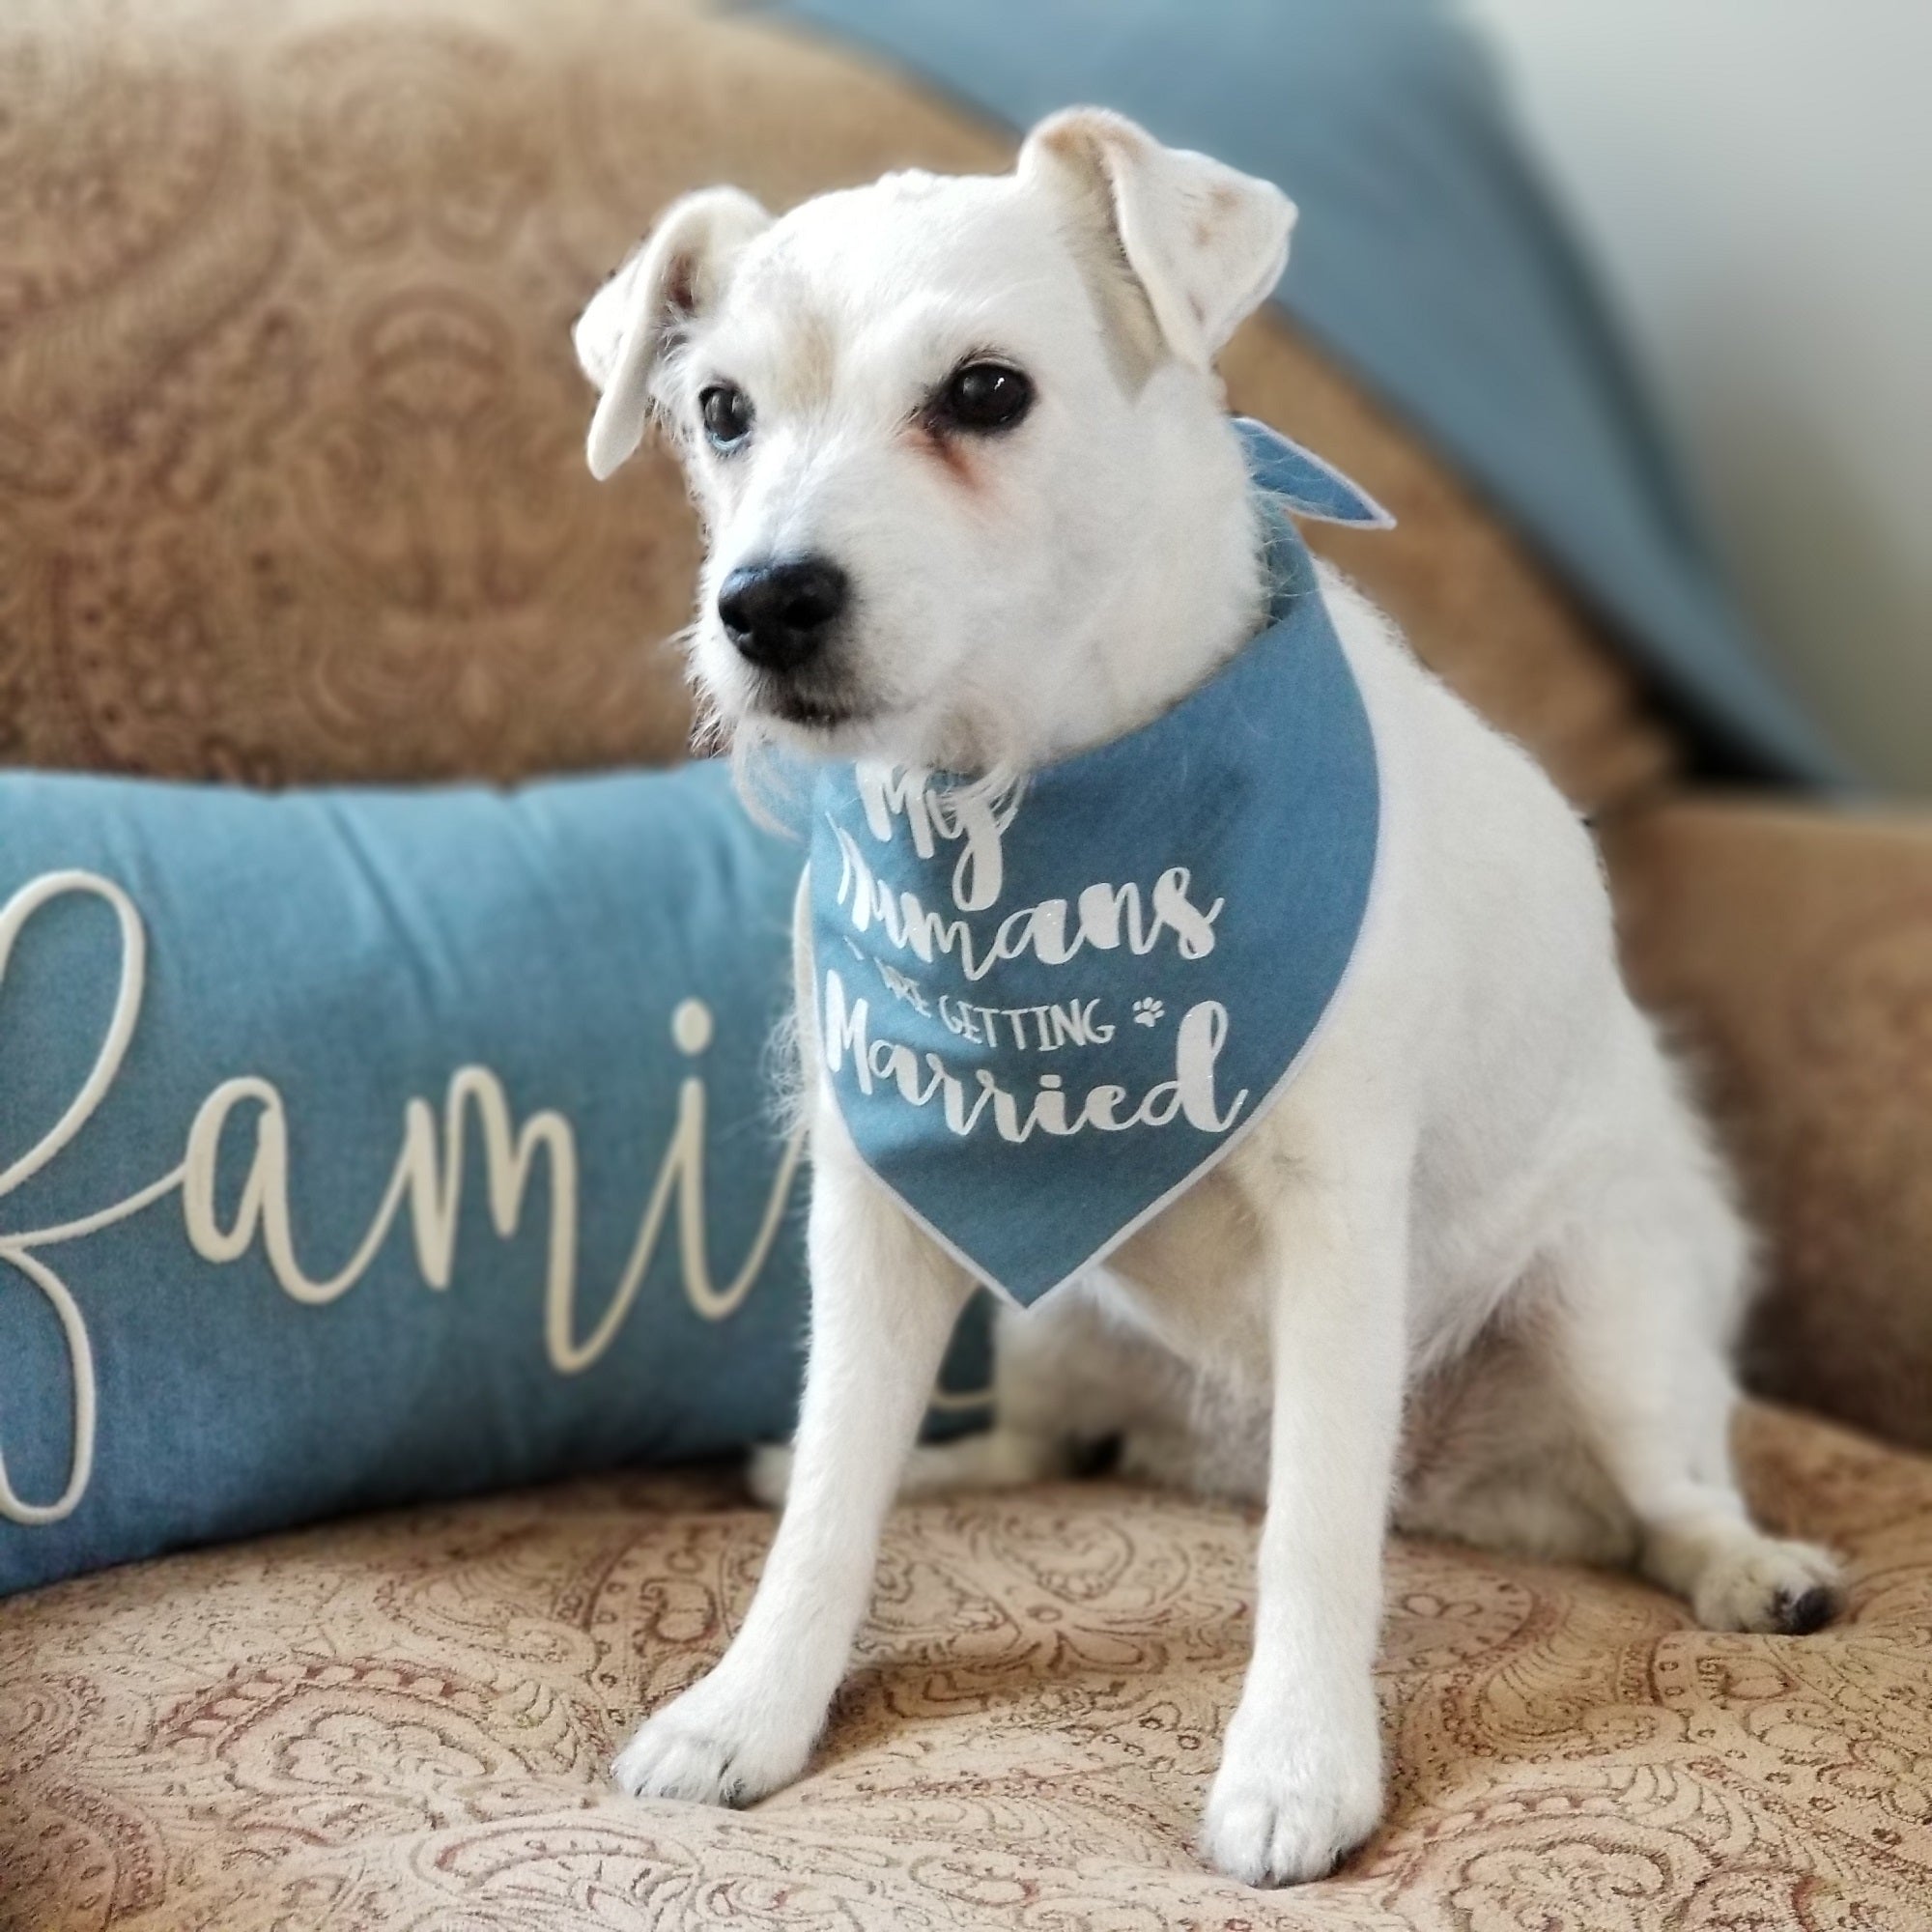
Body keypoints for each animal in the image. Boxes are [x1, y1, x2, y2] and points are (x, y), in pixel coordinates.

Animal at [576, 109, 1839, 1886]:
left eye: (986, 390)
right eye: (720, 410)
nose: (763, 603)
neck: (1032, 789)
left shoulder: (1340, 1217)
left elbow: (1316, 1534)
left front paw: (1297, 1768)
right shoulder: (886, 1206)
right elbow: (837, 1478)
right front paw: (754, 1703)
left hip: (1607, 1316)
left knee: (1664, 1502)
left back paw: (1748, 1567)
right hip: (1050, 1322)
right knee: (1043, 1444)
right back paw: (955, 1465)